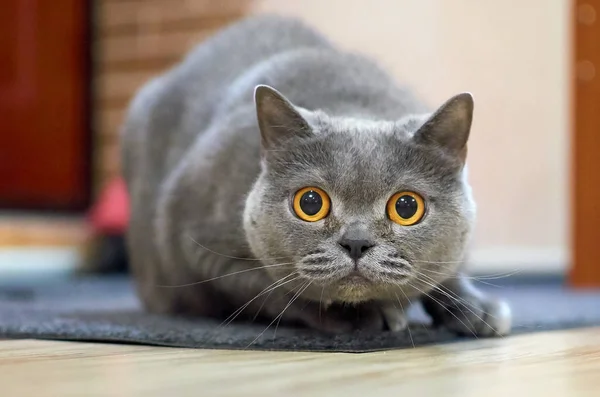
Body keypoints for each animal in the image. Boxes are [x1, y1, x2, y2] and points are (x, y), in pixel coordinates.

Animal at [120, 15, 510, 336]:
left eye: (406, 207)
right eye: (310, 203)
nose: (356, 242)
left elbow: (446, 270)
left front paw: (477, 309)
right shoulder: (197, 242)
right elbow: (277, 291)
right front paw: (363, 316)